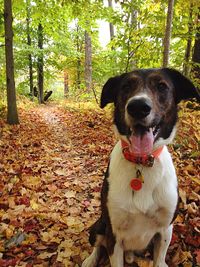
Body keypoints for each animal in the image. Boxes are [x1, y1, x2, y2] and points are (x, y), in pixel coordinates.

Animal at [82, 67, 199, 267]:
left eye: (162, 86)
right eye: (125, 87)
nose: (138, 107)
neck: (141, 162)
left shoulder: (165, 230)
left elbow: (159, 259)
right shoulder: (113, 233)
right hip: (100, 225)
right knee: (97, 244)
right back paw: (91, 259)